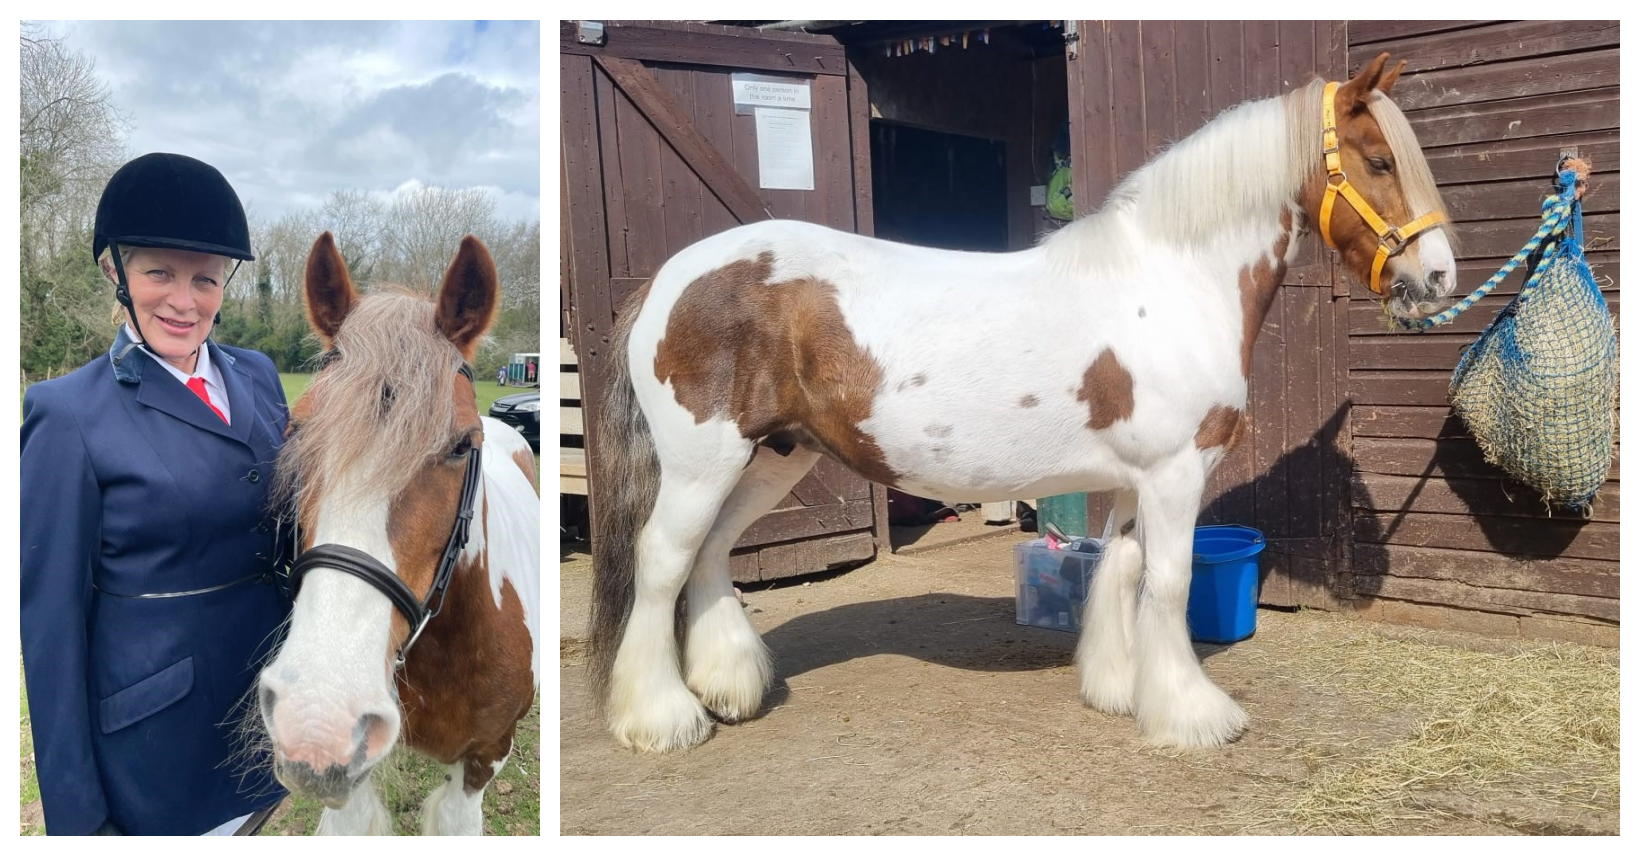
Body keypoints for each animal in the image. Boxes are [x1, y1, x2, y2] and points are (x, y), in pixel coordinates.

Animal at [588, 53, 1455, 752]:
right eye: (1379, 159)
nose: (1440, 277)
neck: (1172, 279)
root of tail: (666, 281)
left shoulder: (1136, 480)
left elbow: (1122, 570)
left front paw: (1119, 690)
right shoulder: (1176, 473)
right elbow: (1168, 584)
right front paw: (1193, 715)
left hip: (772, 457)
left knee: (709, 553)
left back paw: (727, 687)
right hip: (704, 463)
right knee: (661, 560)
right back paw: (661, 719)